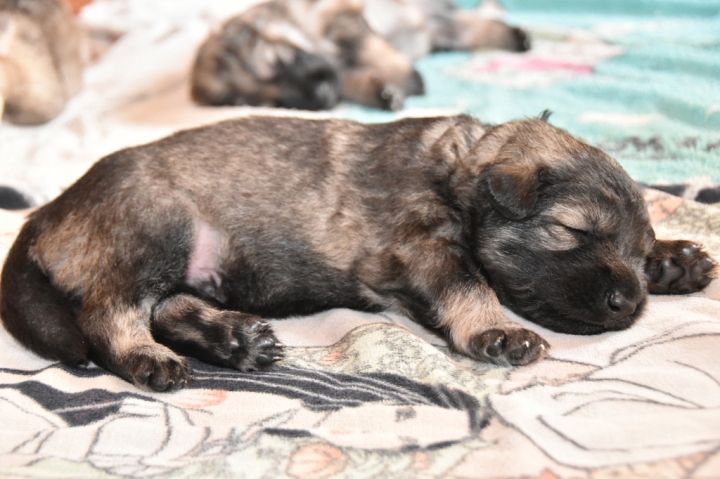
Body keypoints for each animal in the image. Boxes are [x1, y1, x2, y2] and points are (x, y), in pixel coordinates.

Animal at [0, 114, 715, 391]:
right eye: (573, 232)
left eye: (635, 245)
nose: (629, 304)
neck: (457, 167)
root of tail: (46, 211)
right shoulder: (421, 246)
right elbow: (470, 284)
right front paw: (497, 331)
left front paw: (676, 258)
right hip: (159, 226)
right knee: (109, 312)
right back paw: (148, 358)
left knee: (167, 304)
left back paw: (233, 340)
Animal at [191, 0, 528, 111]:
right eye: (275, 104)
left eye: (281, 61)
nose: (322, 99)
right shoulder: (338, 70)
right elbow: (350, 80)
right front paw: (383, 92)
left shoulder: (344, 19)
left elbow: (369, 50)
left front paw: (408, 78)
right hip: (444, 28)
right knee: (469, 29)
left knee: (475, 21)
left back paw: (517, 36)